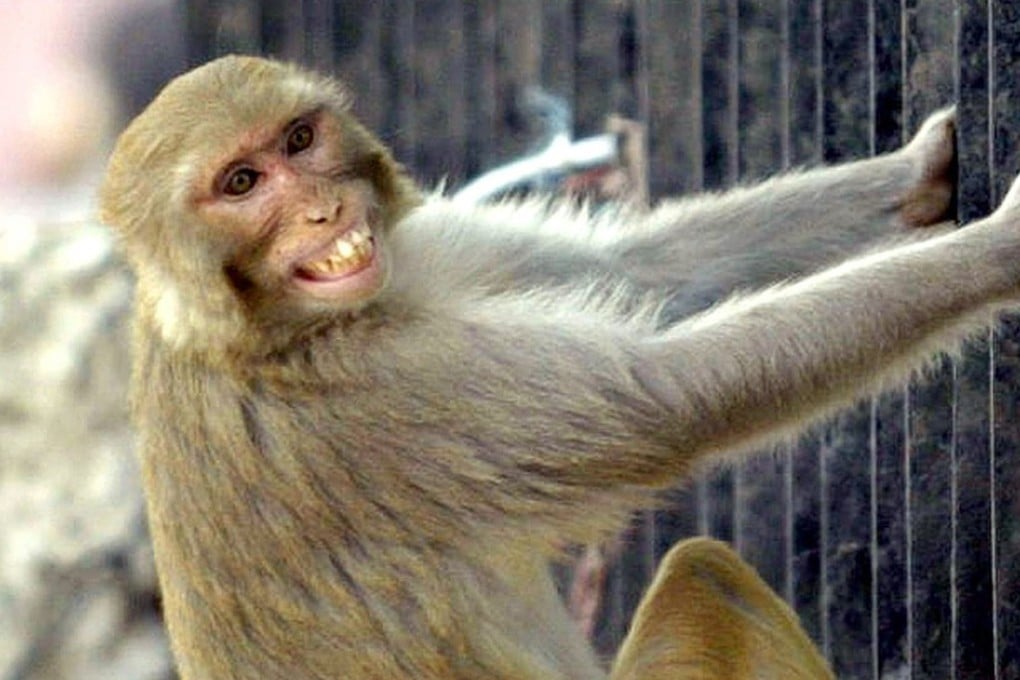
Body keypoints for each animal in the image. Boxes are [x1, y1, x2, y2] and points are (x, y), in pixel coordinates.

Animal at [97, 54, 1006, 680]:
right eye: (242, 183)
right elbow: (668, 395)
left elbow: (638, 271)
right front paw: (1001, 246)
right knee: (703, 573)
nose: (322, 213)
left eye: (299, 139)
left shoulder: (407, 261)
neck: (249, 330)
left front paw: (923, 168)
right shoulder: (377, 400)